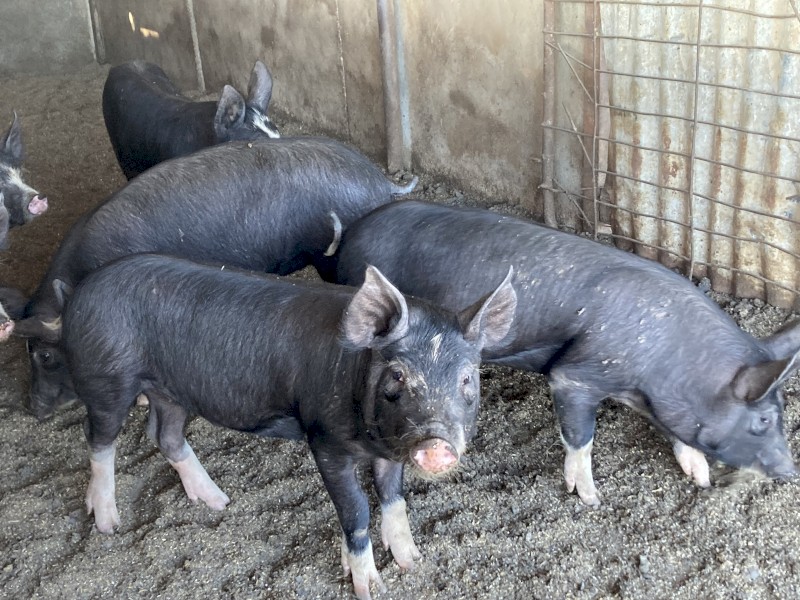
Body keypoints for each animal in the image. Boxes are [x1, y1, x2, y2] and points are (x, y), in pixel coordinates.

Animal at [60, 253, 516, 600]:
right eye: (398, 376)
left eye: (467, 378)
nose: (436, 443)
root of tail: (81, 291)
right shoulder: (324, 440)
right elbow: (356, 509)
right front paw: (370, 588)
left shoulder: (389, 450)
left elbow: (393, 498)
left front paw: (413, 562)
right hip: (106, 379)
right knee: (98, 440)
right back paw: (109, 523)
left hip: (170, 392)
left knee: (165, 436)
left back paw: (219, 502)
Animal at [318, 200, 800, 505]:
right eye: (763, 420)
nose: (790, 471)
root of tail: (352, 234)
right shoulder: (577, 374)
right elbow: (580, 437)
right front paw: (589, 498)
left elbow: (677, 433)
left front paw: (699, 477)